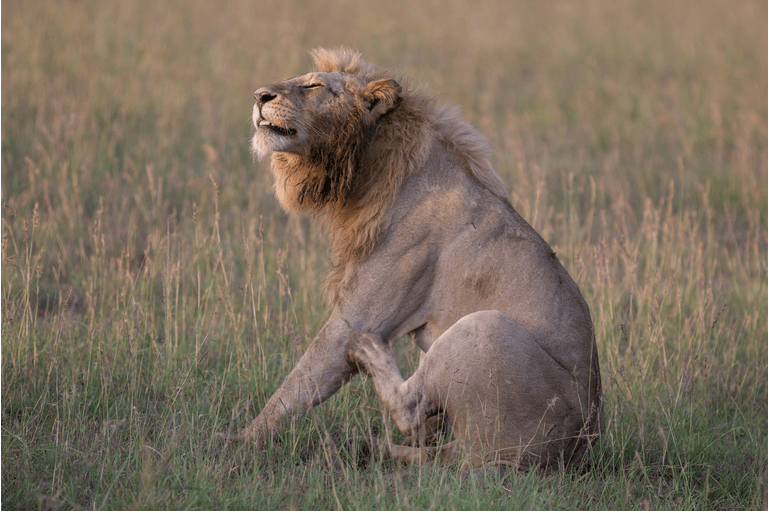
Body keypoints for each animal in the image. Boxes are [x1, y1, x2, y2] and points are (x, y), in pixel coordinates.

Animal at [237, 46, 604, 470]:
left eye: (314, 85)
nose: (258, 96)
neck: (366, 168)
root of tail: (573, 450)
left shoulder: (356, 316)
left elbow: (295, 386)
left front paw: (236, 443)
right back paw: (360, 447)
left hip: (485, 327)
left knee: (409, 411)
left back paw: (370, 356)